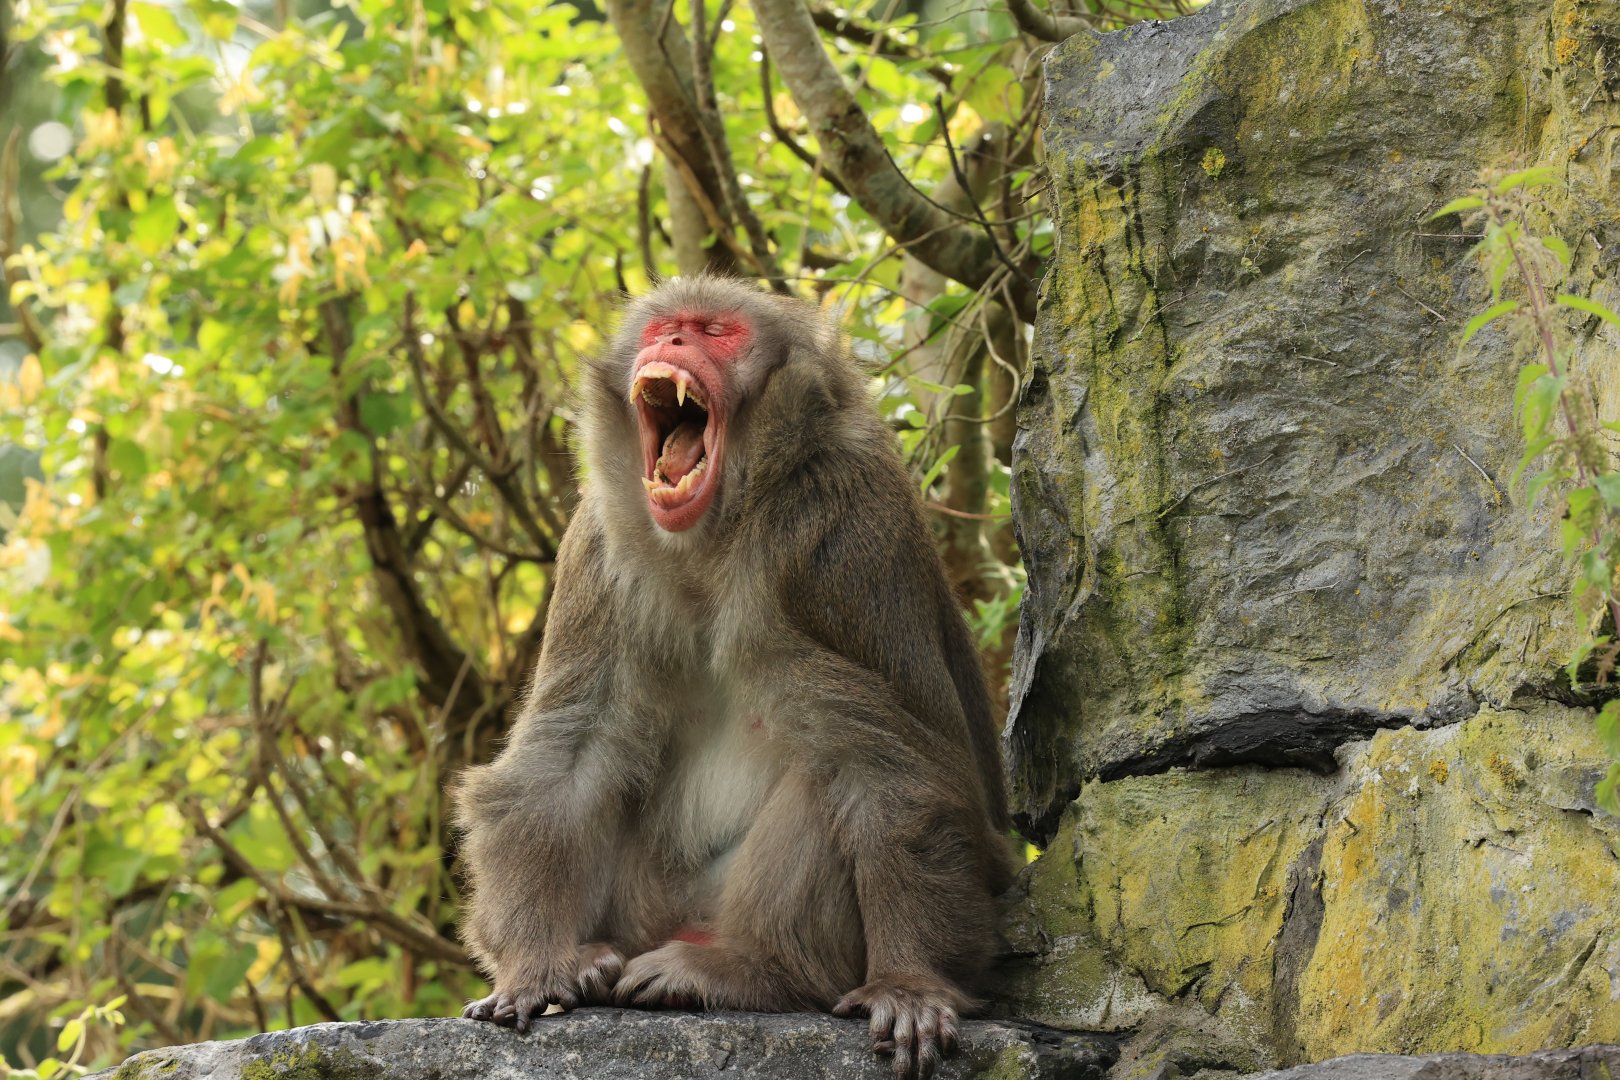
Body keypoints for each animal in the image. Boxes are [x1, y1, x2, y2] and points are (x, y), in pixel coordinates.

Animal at [453, 277, 1015, 1079]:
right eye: (664, 326)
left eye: (716, 331)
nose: (673, 343)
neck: (712, 539)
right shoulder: (596, 544)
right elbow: (567, 757)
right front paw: (538, 966)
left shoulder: (843, 524)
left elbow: (901, 771)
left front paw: (913, 984)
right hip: (650, 902)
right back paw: (599, 964)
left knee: (832, 764)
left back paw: (747, 971)